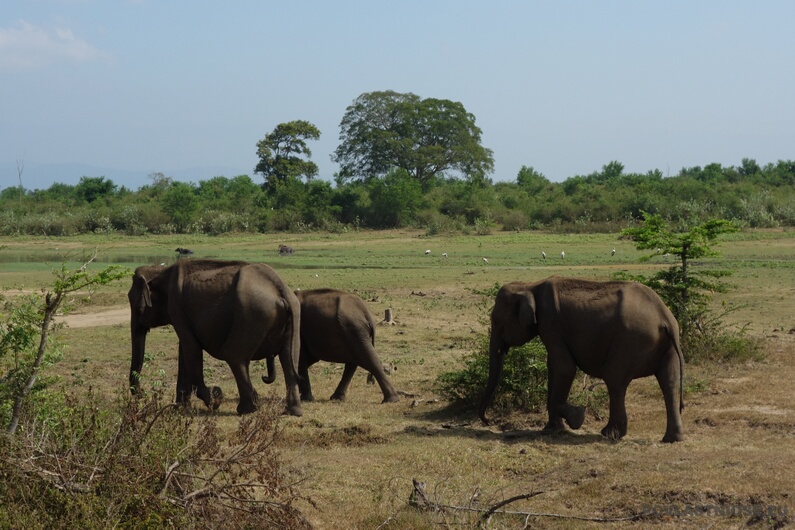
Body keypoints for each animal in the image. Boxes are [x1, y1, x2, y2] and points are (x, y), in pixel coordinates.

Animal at [129, 258, 304, 414]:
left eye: (137, 306)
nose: (142, 394)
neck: (160, 270)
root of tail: (280, 288)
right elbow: (185, 351)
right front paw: (180, 409)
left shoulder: (176, 308)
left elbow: (191, 348)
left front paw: (215, 399)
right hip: (287, 318)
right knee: (288, 359)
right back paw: (292, 411)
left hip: (252, 314)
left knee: (233, 355)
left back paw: (247, 409)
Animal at [262, 286, 402, 402]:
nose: (264, 377)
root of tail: (367, 314)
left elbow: (301, 359)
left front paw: (306, 399)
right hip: (354, 334)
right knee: (354, 362)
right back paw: (337, 398)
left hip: (354, 330)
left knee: (367, 360)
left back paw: (391, 400)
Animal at [482, 276, 688, 442]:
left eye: (497, 321)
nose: (487, 421)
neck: (530, 285)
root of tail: (664, 317)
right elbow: (554, 368)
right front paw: (551, 429)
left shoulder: (550, 322)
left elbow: (565, 368)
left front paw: (577, 417)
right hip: (666, 346)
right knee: (669, 381)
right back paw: (672, 439)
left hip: (631, 340)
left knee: (614, 379)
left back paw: (610, 434)